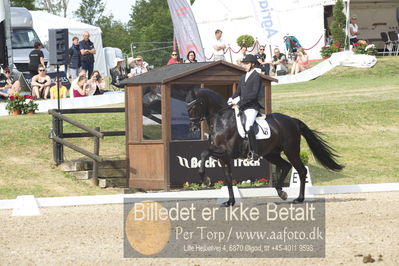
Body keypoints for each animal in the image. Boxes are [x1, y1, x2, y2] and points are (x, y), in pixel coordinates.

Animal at [186, 88, 346, 207]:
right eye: (186, 107)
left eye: (194, 106)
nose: (193, 128)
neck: (222, 120)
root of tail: (293, 120)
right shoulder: (223, 157)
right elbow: (228, 178)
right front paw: (230, 201)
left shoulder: (228, 151)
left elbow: (204, 153)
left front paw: (205, 180)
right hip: (271, 154)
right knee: (286, 166)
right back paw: (281, 192)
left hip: (291, 151)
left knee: (301, 170)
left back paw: (299, 198)